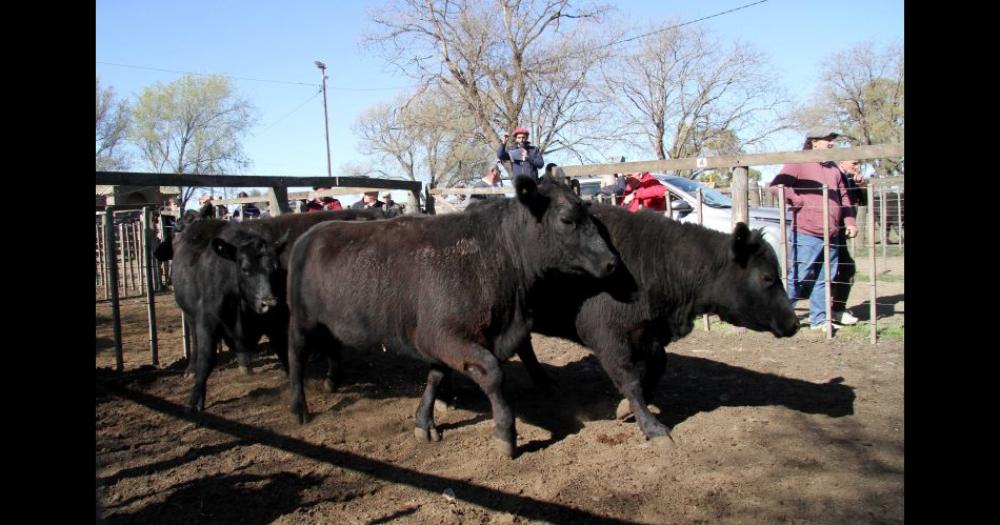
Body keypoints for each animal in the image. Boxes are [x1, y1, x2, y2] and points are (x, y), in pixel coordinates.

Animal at [286, 176, 620, 454]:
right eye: (567, 219)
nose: (611, 262)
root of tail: (310, 234)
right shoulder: (443, 336)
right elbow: (492, 373)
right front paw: (506, 434)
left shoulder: (437, 339)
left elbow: (436, 376)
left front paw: (424, 422)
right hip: (301, 321)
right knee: (296, 357)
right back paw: (298, 408)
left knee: (331, 345)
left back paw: (332, 381)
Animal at [520, 205, 800, 442]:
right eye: (767, 277)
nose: (795, 323)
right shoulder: (608, 336)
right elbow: (629, 378)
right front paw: (651, 425)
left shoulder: (648, 332)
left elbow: (658, 364)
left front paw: (631, 407)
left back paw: (544, 381)